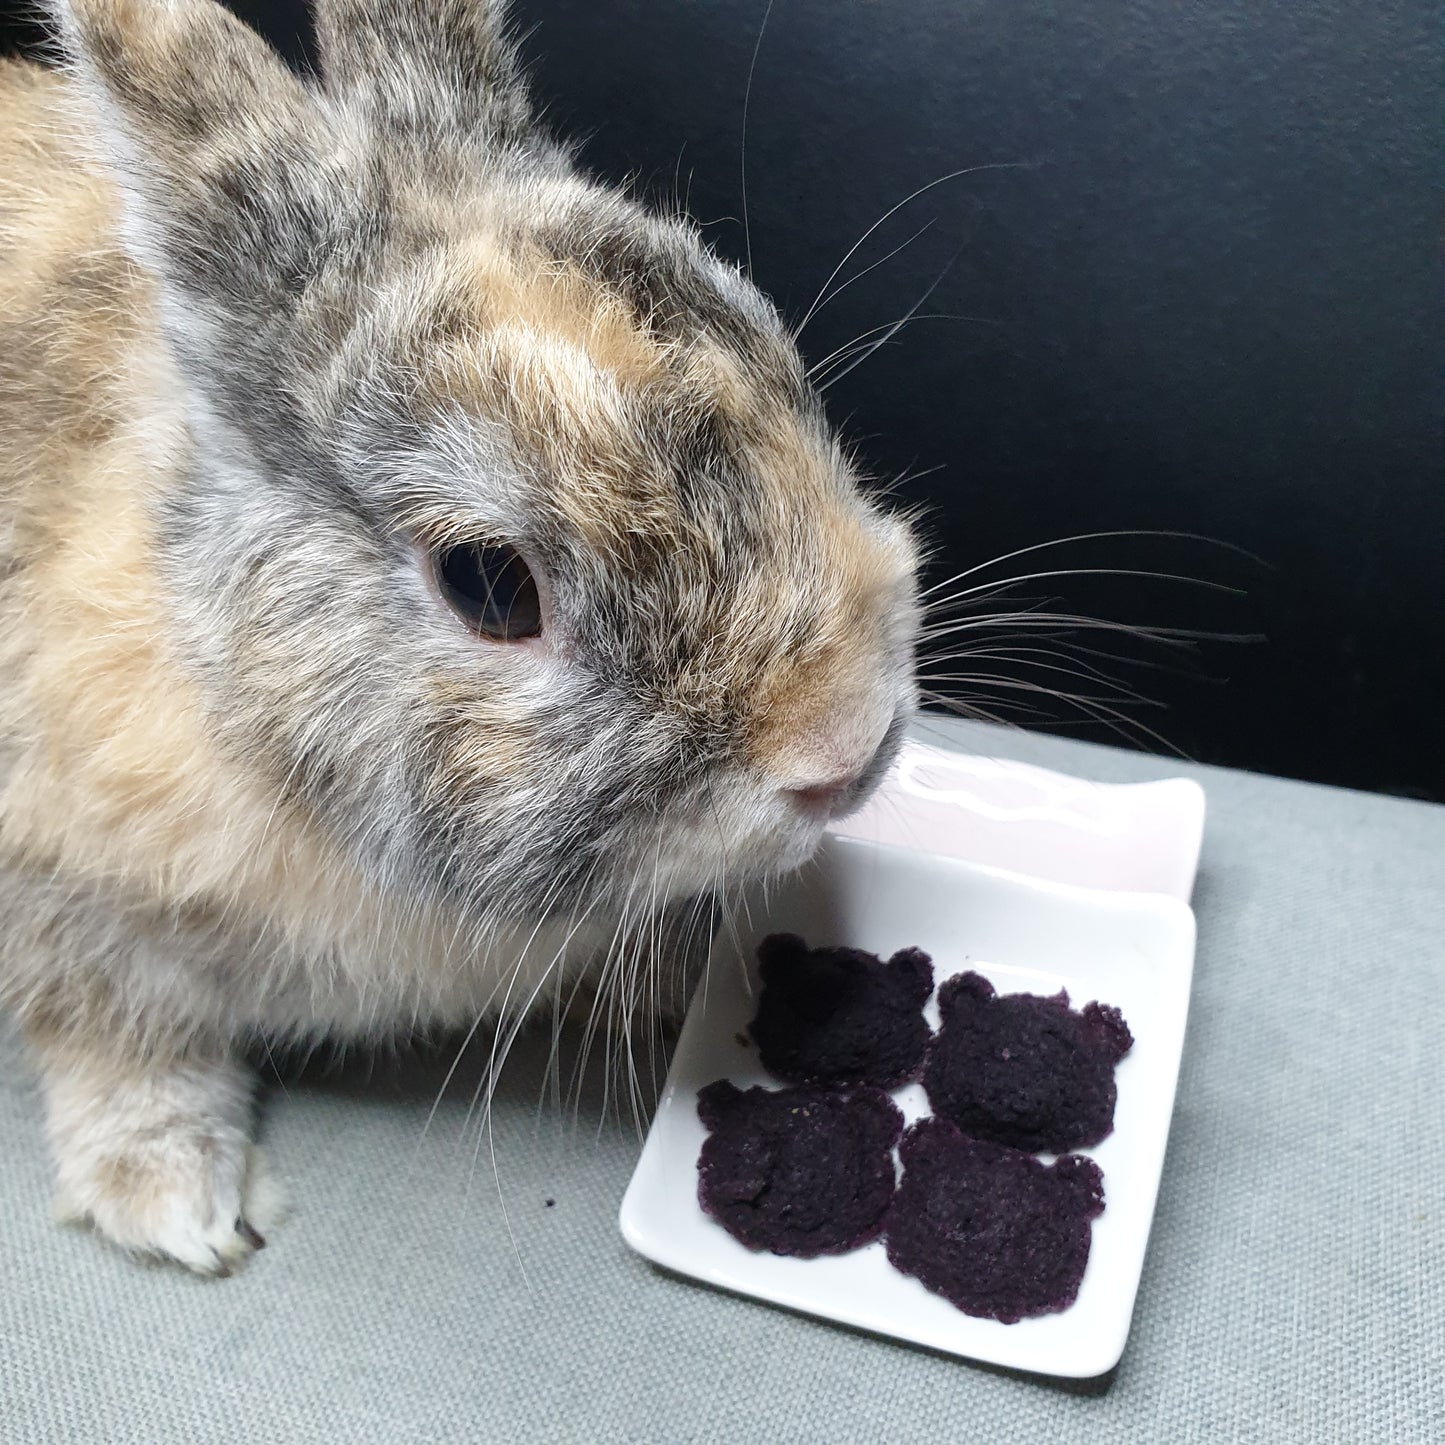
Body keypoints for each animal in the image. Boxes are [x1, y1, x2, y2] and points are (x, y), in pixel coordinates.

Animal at [0, 2, 919, 1277]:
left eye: (773, 360)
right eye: (489, 583)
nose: (849, 742)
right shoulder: (62, 910)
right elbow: (114, 1039)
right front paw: (176, 1198)